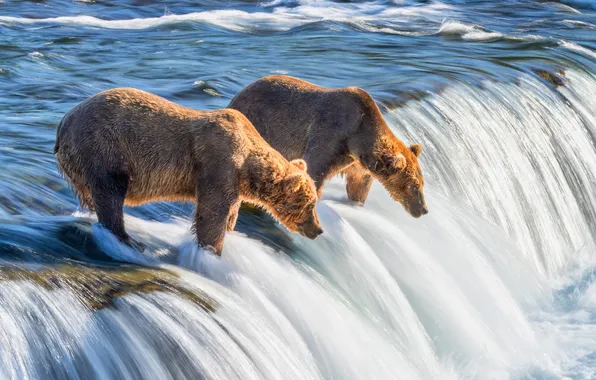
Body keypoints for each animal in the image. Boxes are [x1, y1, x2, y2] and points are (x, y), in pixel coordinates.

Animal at [54, 88, 324, 255]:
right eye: (310, 204)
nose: (318, 230)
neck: (247, 166)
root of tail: (64, 121)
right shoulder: (218, 164)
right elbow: (212, 213)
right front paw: (212, 250)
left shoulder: (234, 182)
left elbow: (230, 213)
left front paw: (229, 232)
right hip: (104, 148)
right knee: (110, 192)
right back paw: (129, 239)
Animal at [228, 75, 428, 218]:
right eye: (414, 186)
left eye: (422, 183)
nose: (424, 209)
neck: (357, 137)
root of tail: (236, 96)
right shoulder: (330, 132)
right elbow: (315, 169)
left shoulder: (354, 161)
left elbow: (359, 185)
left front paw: (356, 202)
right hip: (258, 123)